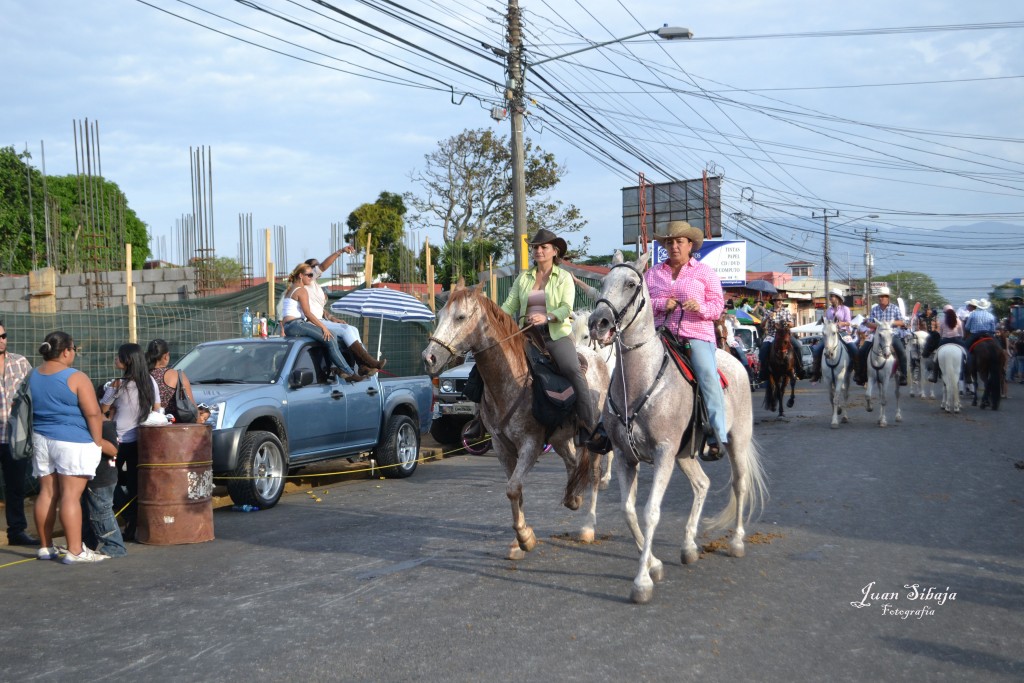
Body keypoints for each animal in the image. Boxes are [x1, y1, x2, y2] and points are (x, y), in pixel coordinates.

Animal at [421, 284, 610, 561]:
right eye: (440, 316)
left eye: (460, 317)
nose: (430, 357)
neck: (510, 378)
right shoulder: (501, 446)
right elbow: (515, 490)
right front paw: (517, 542)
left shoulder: (530, 444)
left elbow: (513, 488)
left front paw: (525, 538)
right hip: (560, 438)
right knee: (573, 462)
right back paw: (573, 497)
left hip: (592, 437)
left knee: (594, 474)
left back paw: (588, 527)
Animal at [585, 250, 770, 602]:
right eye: (602, 283)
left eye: (631, 284)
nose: (598, 323)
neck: (639, 381)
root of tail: (737, 363)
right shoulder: (627, 457)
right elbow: (628, 511)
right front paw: (655, 565)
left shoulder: (663, 453)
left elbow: (651, 512)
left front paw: (642, 582)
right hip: (685, 455)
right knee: (702, 485)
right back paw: (688, 547)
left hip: (736, 442)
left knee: (739, 484)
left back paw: (737, 541)